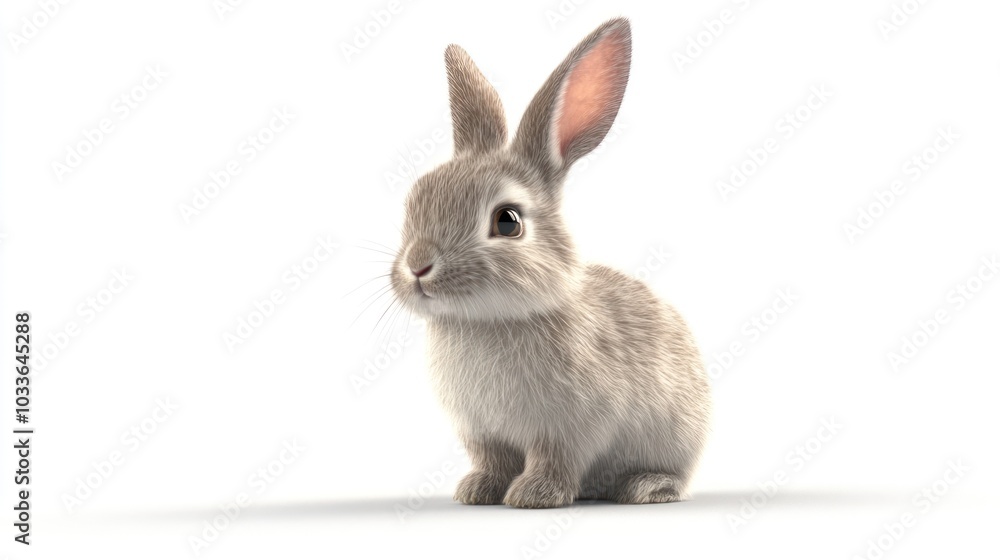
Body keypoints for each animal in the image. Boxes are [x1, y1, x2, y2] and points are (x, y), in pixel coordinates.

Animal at [388, 17, 711, 508]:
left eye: (507, 221)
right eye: (414, 200)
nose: (418, 267)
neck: (488, 320)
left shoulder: (571, 427)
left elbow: (553, 459)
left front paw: (533, 495)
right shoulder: (482, 432)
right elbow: (492, 460)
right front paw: (477, 490)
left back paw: (646, 487)